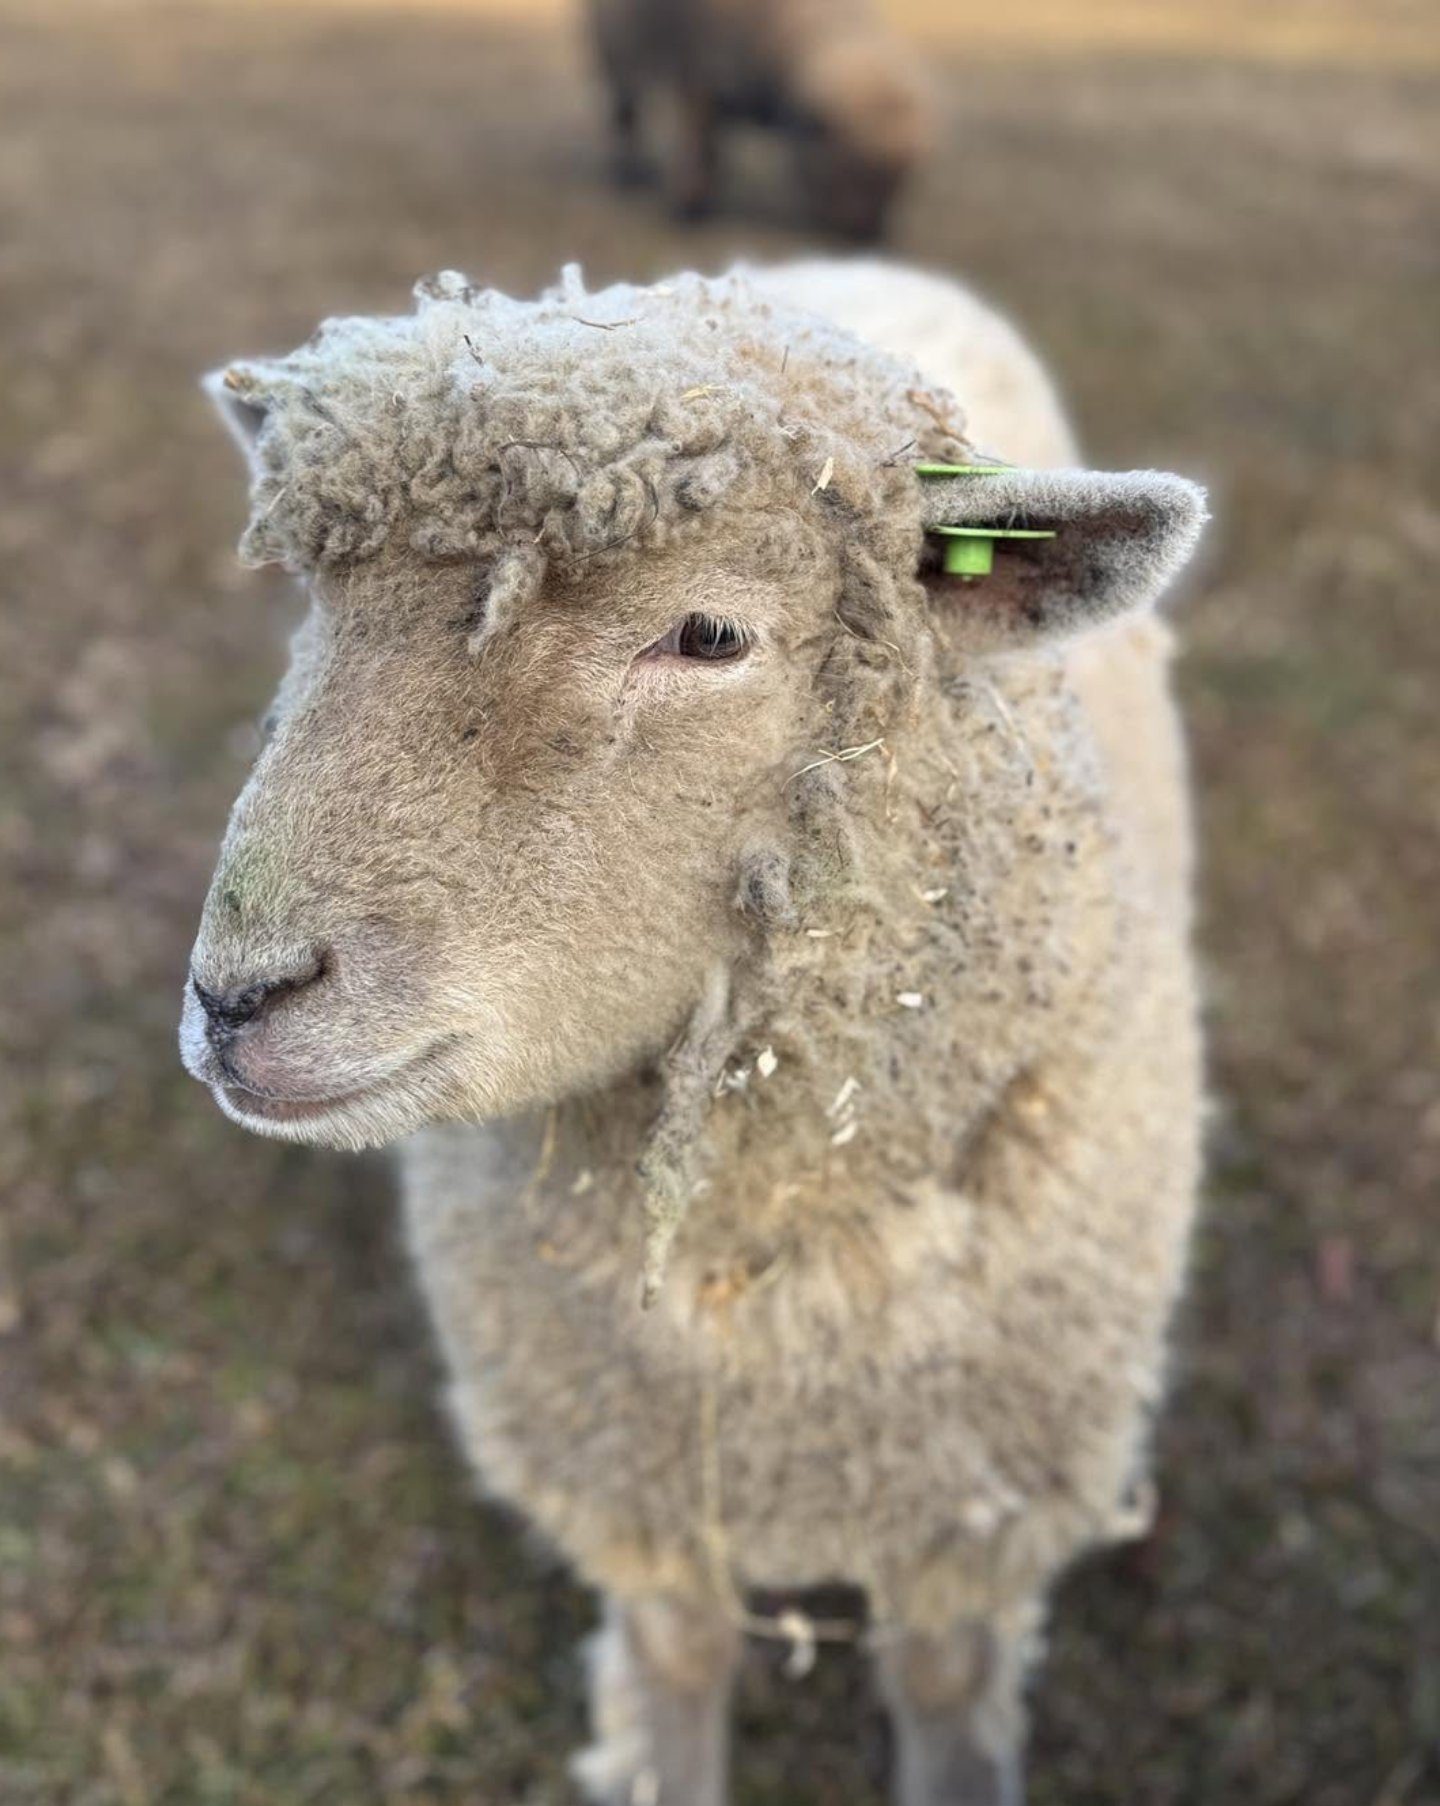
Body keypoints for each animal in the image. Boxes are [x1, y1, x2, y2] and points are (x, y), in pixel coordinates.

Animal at [181, 257, 1207, 1806]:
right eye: (318, 605)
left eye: (710, 635)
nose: (238, 998)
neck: (749, 1274)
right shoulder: (640, 1483)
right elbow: (671, 1667)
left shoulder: (968, 1504)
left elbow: (945, 1685)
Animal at [586, 0, 933, 239]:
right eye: (848, 171)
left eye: (901, 183)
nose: (870, 236)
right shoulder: (699, 78)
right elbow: (697, 147)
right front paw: (687, 207)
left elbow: (712, 151)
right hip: (616, 57)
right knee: (625, 115)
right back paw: (626, 173)